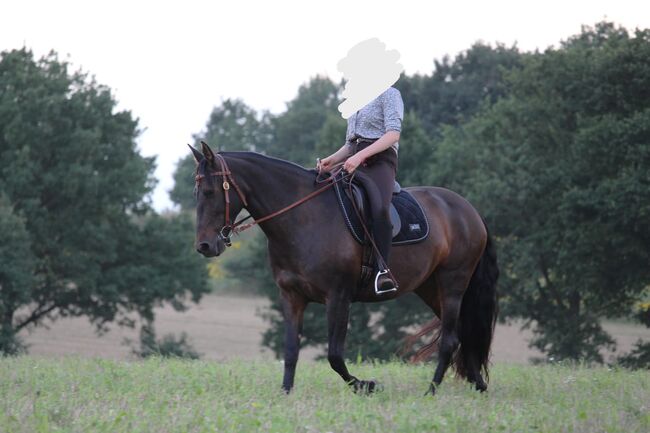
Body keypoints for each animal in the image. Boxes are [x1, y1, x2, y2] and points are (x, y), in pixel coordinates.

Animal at [190, 141, 499, 395]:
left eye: (210, 191)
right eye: (196, 192)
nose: (205, 246)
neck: (303, 218)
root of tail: (468, 210)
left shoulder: (338, 296)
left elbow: (335, 355)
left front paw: (367, 385)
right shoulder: (291, 296)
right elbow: (291, 350)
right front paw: (285, 393)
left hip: (452, 283)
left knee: (449, 339)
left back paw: (431, 391)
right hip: (430, 287)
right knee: (462, 333)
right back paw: (478, 384)